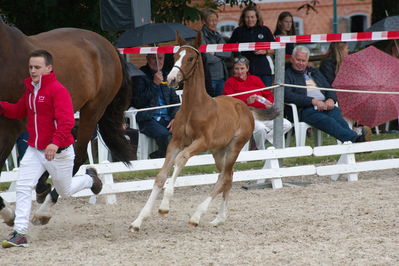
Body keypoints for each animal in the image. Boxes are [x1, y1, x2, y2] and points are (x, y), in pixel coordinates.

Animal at [131, 31, 278, 231]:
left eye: (191, 58)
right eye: (175, 56)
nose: (171, 79)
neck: (194, 107)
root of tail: (245, 108)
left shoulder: (201, 142)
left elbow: (181, 159)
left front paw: (164, 206)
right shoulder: (175, 141)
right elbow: (161, 176)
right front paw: (138, 220)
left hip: (234, 147)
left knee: (224, 177)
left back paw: (197, 216)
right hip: (218, 151)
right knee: (228, 176)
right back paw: (219, 218)